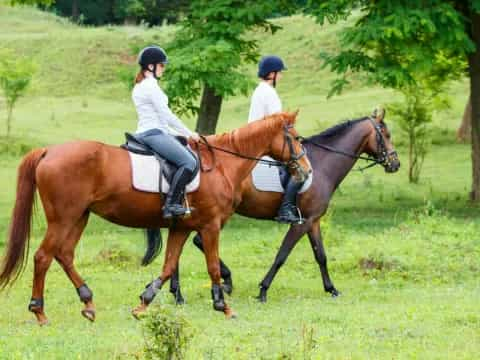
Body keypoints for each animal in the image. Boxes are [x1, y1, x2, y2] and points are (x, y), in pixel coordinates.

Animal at [0, 111, 312, 324]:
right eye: (296, 138)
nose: (306, 171)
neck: (223, 165)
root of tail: (48, 151)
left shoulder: (182, 228)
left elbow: (168, 265)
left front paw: (143, 303)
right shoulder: (210, 226)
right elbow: (211, 266)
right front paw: (224, 306)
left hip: (79, 217)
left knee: (64, 254)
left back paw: (88, 303)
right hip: (63, 218)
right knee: (43, 257)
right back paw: (39, 311)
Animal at [167, 109, 400, 304]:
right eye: (386, 135)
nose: (395, 164)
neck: (322, 165)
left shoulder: (313, 221)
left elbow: (321, 256)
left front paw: (331, 289)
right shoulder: (301, 223)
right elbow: (282, 255)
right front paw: (263, 290)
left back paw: (180, 292)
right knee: (195, 241)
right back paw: (206, 286)